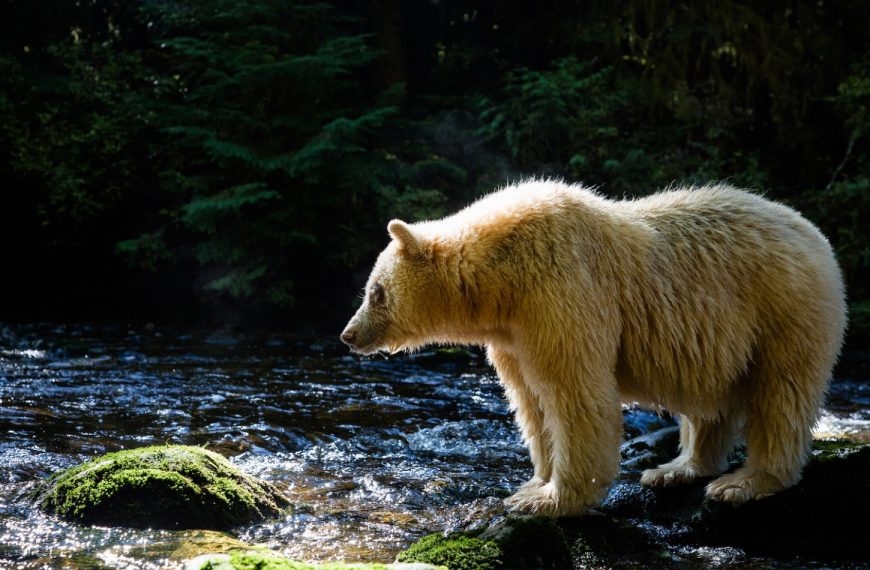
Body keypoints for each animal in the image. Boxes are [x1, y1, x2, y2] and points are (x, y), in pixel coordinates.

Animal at [340, 180, 847, 516]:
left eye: (376, 291)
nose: (348, 334)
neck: (504, 273)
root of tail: (816, 236)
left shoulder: (561, 292)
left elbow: (575, 395)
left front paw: (550, 499)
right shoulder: (513, 334)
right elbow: (531, 402)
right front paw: (532, 483)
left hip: (782, 311)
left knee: (781, 395)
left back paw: (744, 482)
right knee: (710, 402)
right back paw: (675, 468)